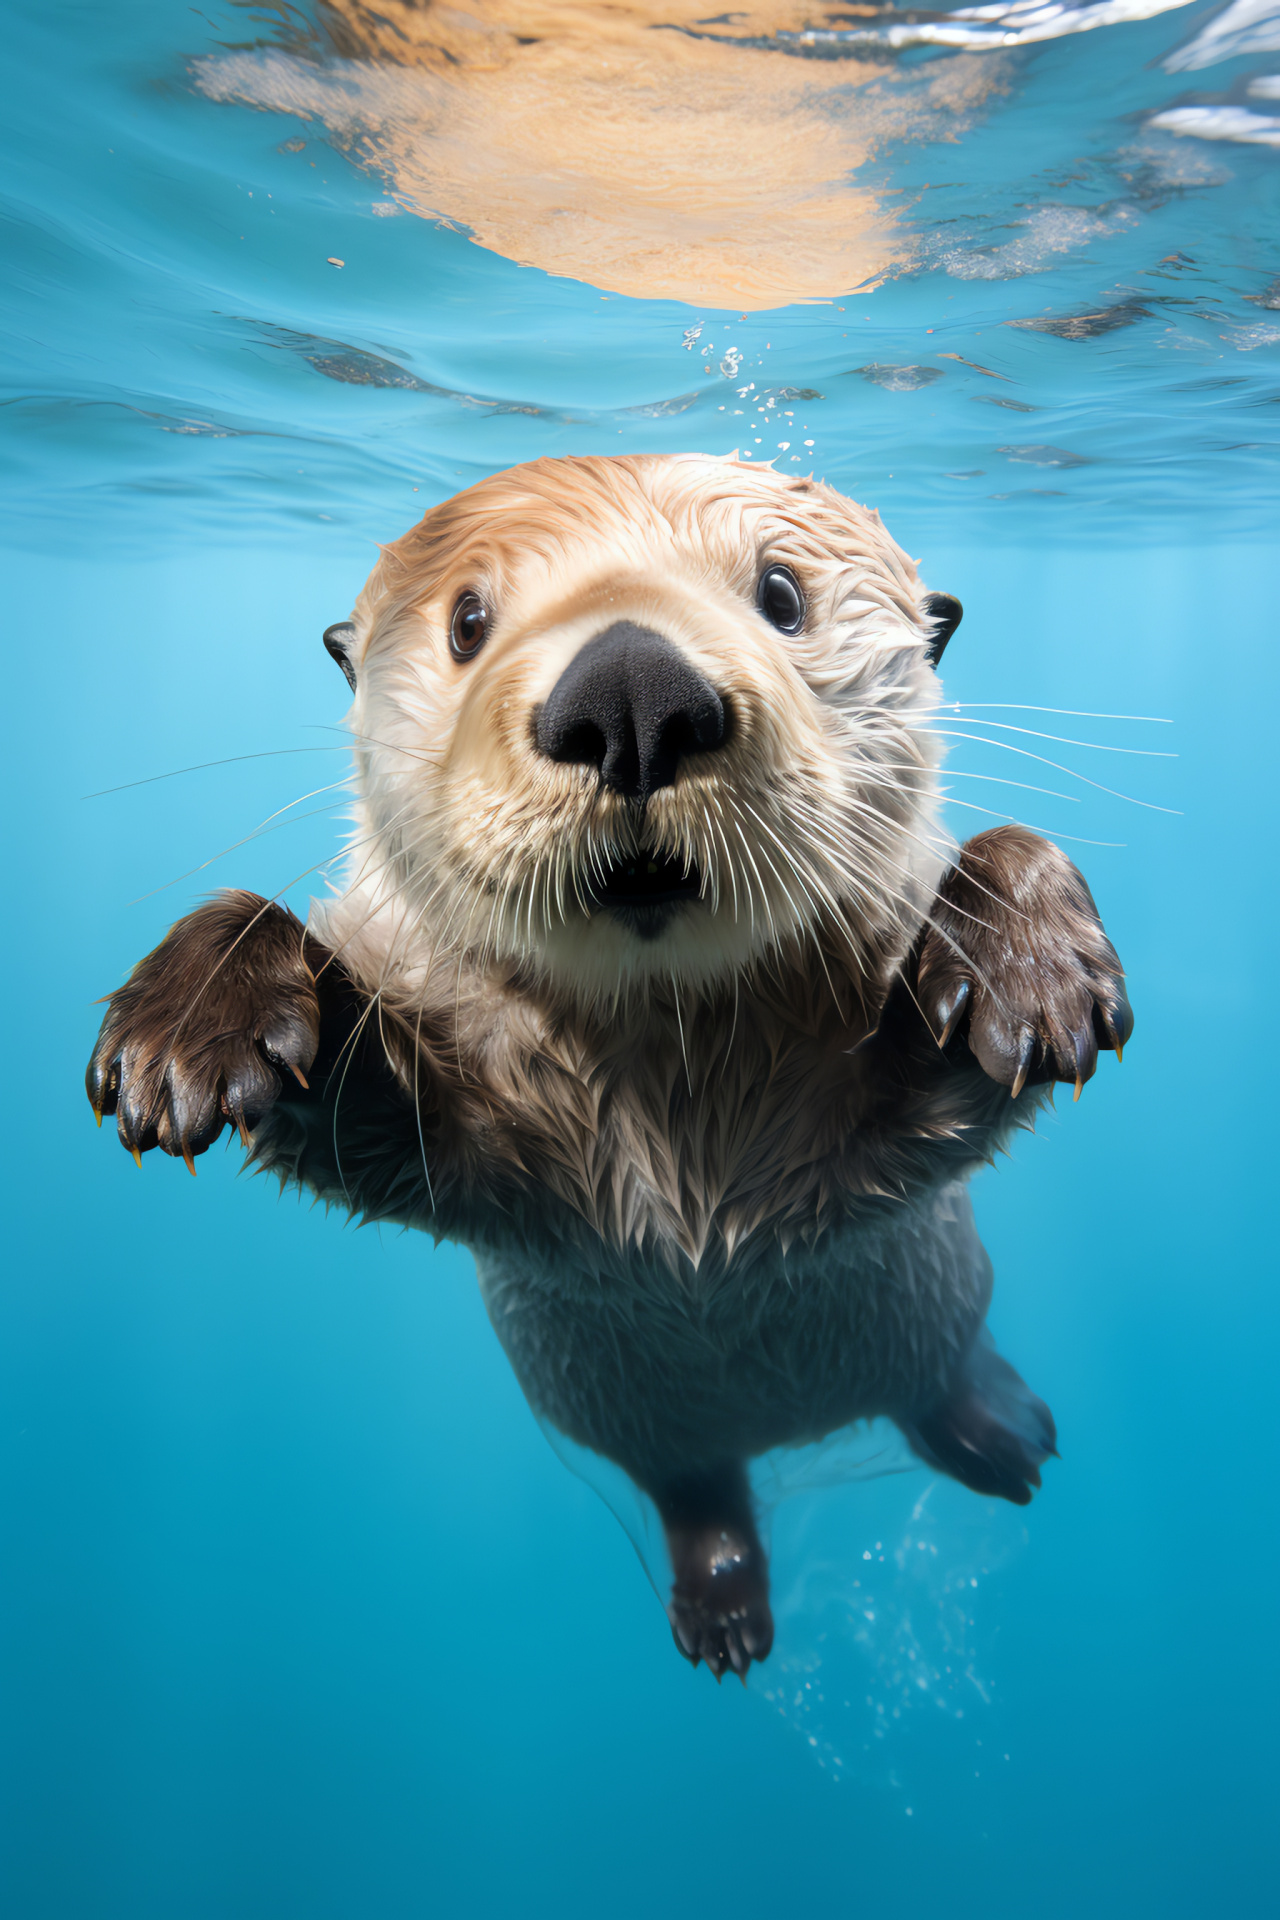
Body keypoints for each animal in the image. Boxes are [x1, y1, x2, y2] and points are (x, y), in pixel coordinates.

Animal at [87, 456, 1128, 1674]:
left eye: (782, 594)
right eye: (467, 621)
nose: (632, 691)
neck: (675, 1120)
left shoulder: (846, 1141)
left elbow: (958, 1076)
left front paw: (1028, 965)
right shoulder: (505, 1156)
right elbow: (357, 1114)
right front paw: (185, 1035)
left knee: (938, 1385)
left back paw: (1006, 1443)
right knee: (694, 1488)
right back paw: (725, 1607)